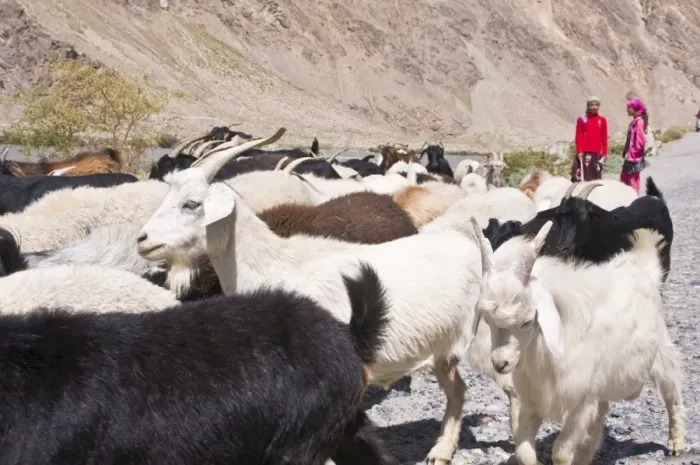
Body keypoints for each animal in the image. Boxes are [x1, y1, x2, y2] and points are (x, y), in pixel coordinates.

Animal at [474, 222, 685, 465]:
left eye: (527, 321)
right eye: (487, 321)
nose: (500, 363)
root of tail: (640, 266)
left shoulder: (579, 407)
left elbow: (561, 452)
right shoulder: (533, 401)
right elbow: (523, 450)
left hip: (661, 351)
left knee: (672, 391)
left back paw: (676, 443)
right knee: (598, 420)